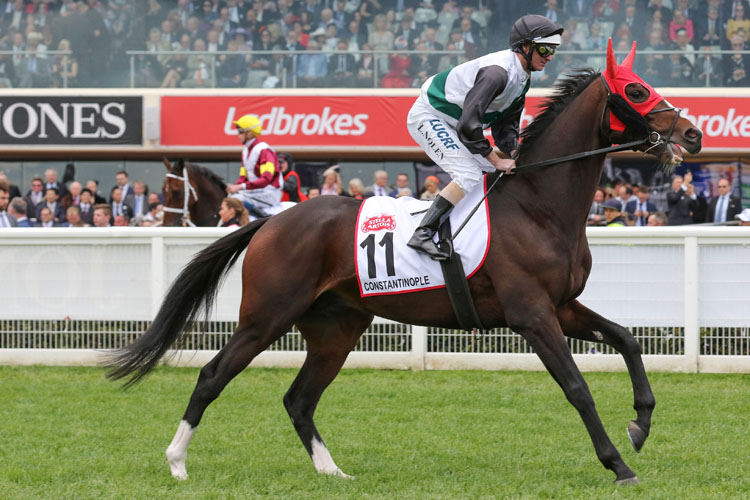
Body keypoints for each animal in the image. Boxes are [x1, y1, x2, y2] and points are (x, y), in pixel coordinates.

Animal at [107, 43, 704, 484]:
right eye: (636, 90)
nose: (693, 133)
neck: (540, 202)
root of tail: (274, 222)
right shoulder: (533, 314)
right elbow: (577, 387)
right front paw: (618, 463)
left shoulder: (563, 306)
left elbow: (627, 339)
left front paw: (640, 424)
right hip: (266, 316)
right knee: (213, 375)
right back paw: (177, 462)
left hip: (337, 327)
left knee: (299, 398)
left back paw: (333, 472)